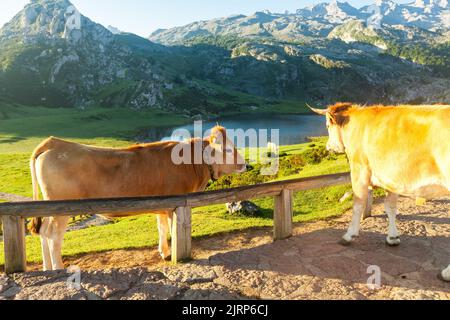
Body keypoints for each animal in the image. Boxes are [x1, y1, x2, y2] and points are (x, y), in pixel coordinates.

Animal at [29, 126, 246, 272]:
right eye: (228, 149)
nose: (246, 164)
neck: (192, 163)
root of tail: (54, 142)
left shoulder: (162, 205)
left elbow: (161, 228)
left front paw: (164, 252)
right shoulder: (173, 206)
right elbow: (172, 230)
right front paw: (173, 254)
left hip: (49, 208)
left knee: (44, 231)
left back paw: (48, 268)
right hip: (61, 209)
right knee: (54, 236)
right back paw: (58, 268)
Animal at [310, 104, 450, 282]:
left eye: (328, 126)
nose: (328, 147)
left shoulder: (359, 171)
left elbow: (358, 206)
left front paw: (349, 235)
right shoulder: (393, 178)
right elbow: (390, 208)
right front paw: (392, 237)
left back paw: (446, 273)